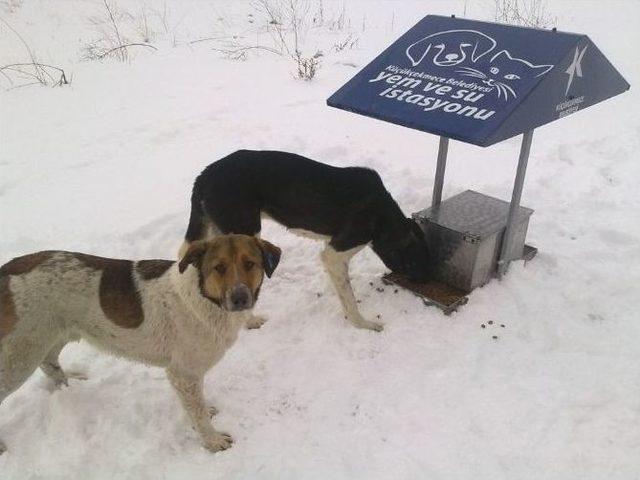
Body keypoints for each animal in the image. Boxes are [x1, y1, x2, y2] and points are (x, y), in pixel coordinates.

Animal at [0, 235, 280, 454]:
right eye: (219, 268)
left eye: (250, 264)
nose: (240, 298)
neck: (203, 297)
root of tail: (6, 269)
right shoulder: (182, 373)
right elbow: (197, 412)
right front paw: (212, 441)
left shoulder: (187, 377)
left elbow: (195, 405)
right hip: (21, 353)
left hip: (51, 335)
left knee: (49, 363)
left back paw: (68, 384)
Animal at [180, 149, 430, 330]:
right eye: (415, 263)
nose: (426, 282)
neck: (383, 216)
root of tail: (204, 176)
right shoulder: (336, 252)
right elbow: (349, 297)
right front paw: (362, 324)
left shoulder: (331, 251)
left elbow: (341, 286)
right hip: (243, 231)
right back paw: (249, 320)